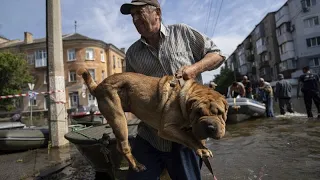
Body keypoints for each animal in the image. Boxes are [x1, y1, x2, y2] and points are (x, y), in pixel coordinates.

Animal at [77, 68, 228, 172]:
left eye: (220, 113)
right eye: (198, 113)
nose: (210, 126)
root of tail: (98, 86)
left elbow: (192, 136)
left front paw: (202, 145)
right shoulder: (167, 128)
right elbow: (188, 137)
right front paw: (201, 149)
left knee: (120, 145)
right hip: (119, 118)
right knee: (124, 147)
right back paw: (137, 165)